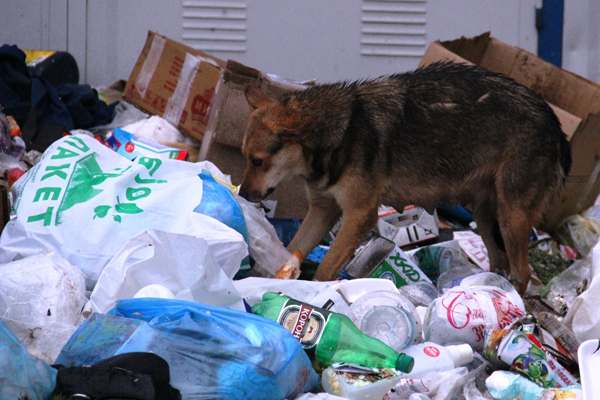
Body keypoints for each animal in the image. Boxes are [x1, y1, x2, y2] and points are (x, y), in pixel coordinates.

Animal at [239, 61, 571, 294]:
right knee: (499, 261)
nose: (241, 194)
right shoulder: (322, 210)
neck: (341, 134)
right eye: (245, 157)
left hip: (511, 215)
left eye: (258, 161)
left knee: (523, 273)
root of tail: (554, 124)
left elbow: (326, 269)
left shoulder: (358, 215)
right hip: (487, 215)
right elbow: (293, 249)